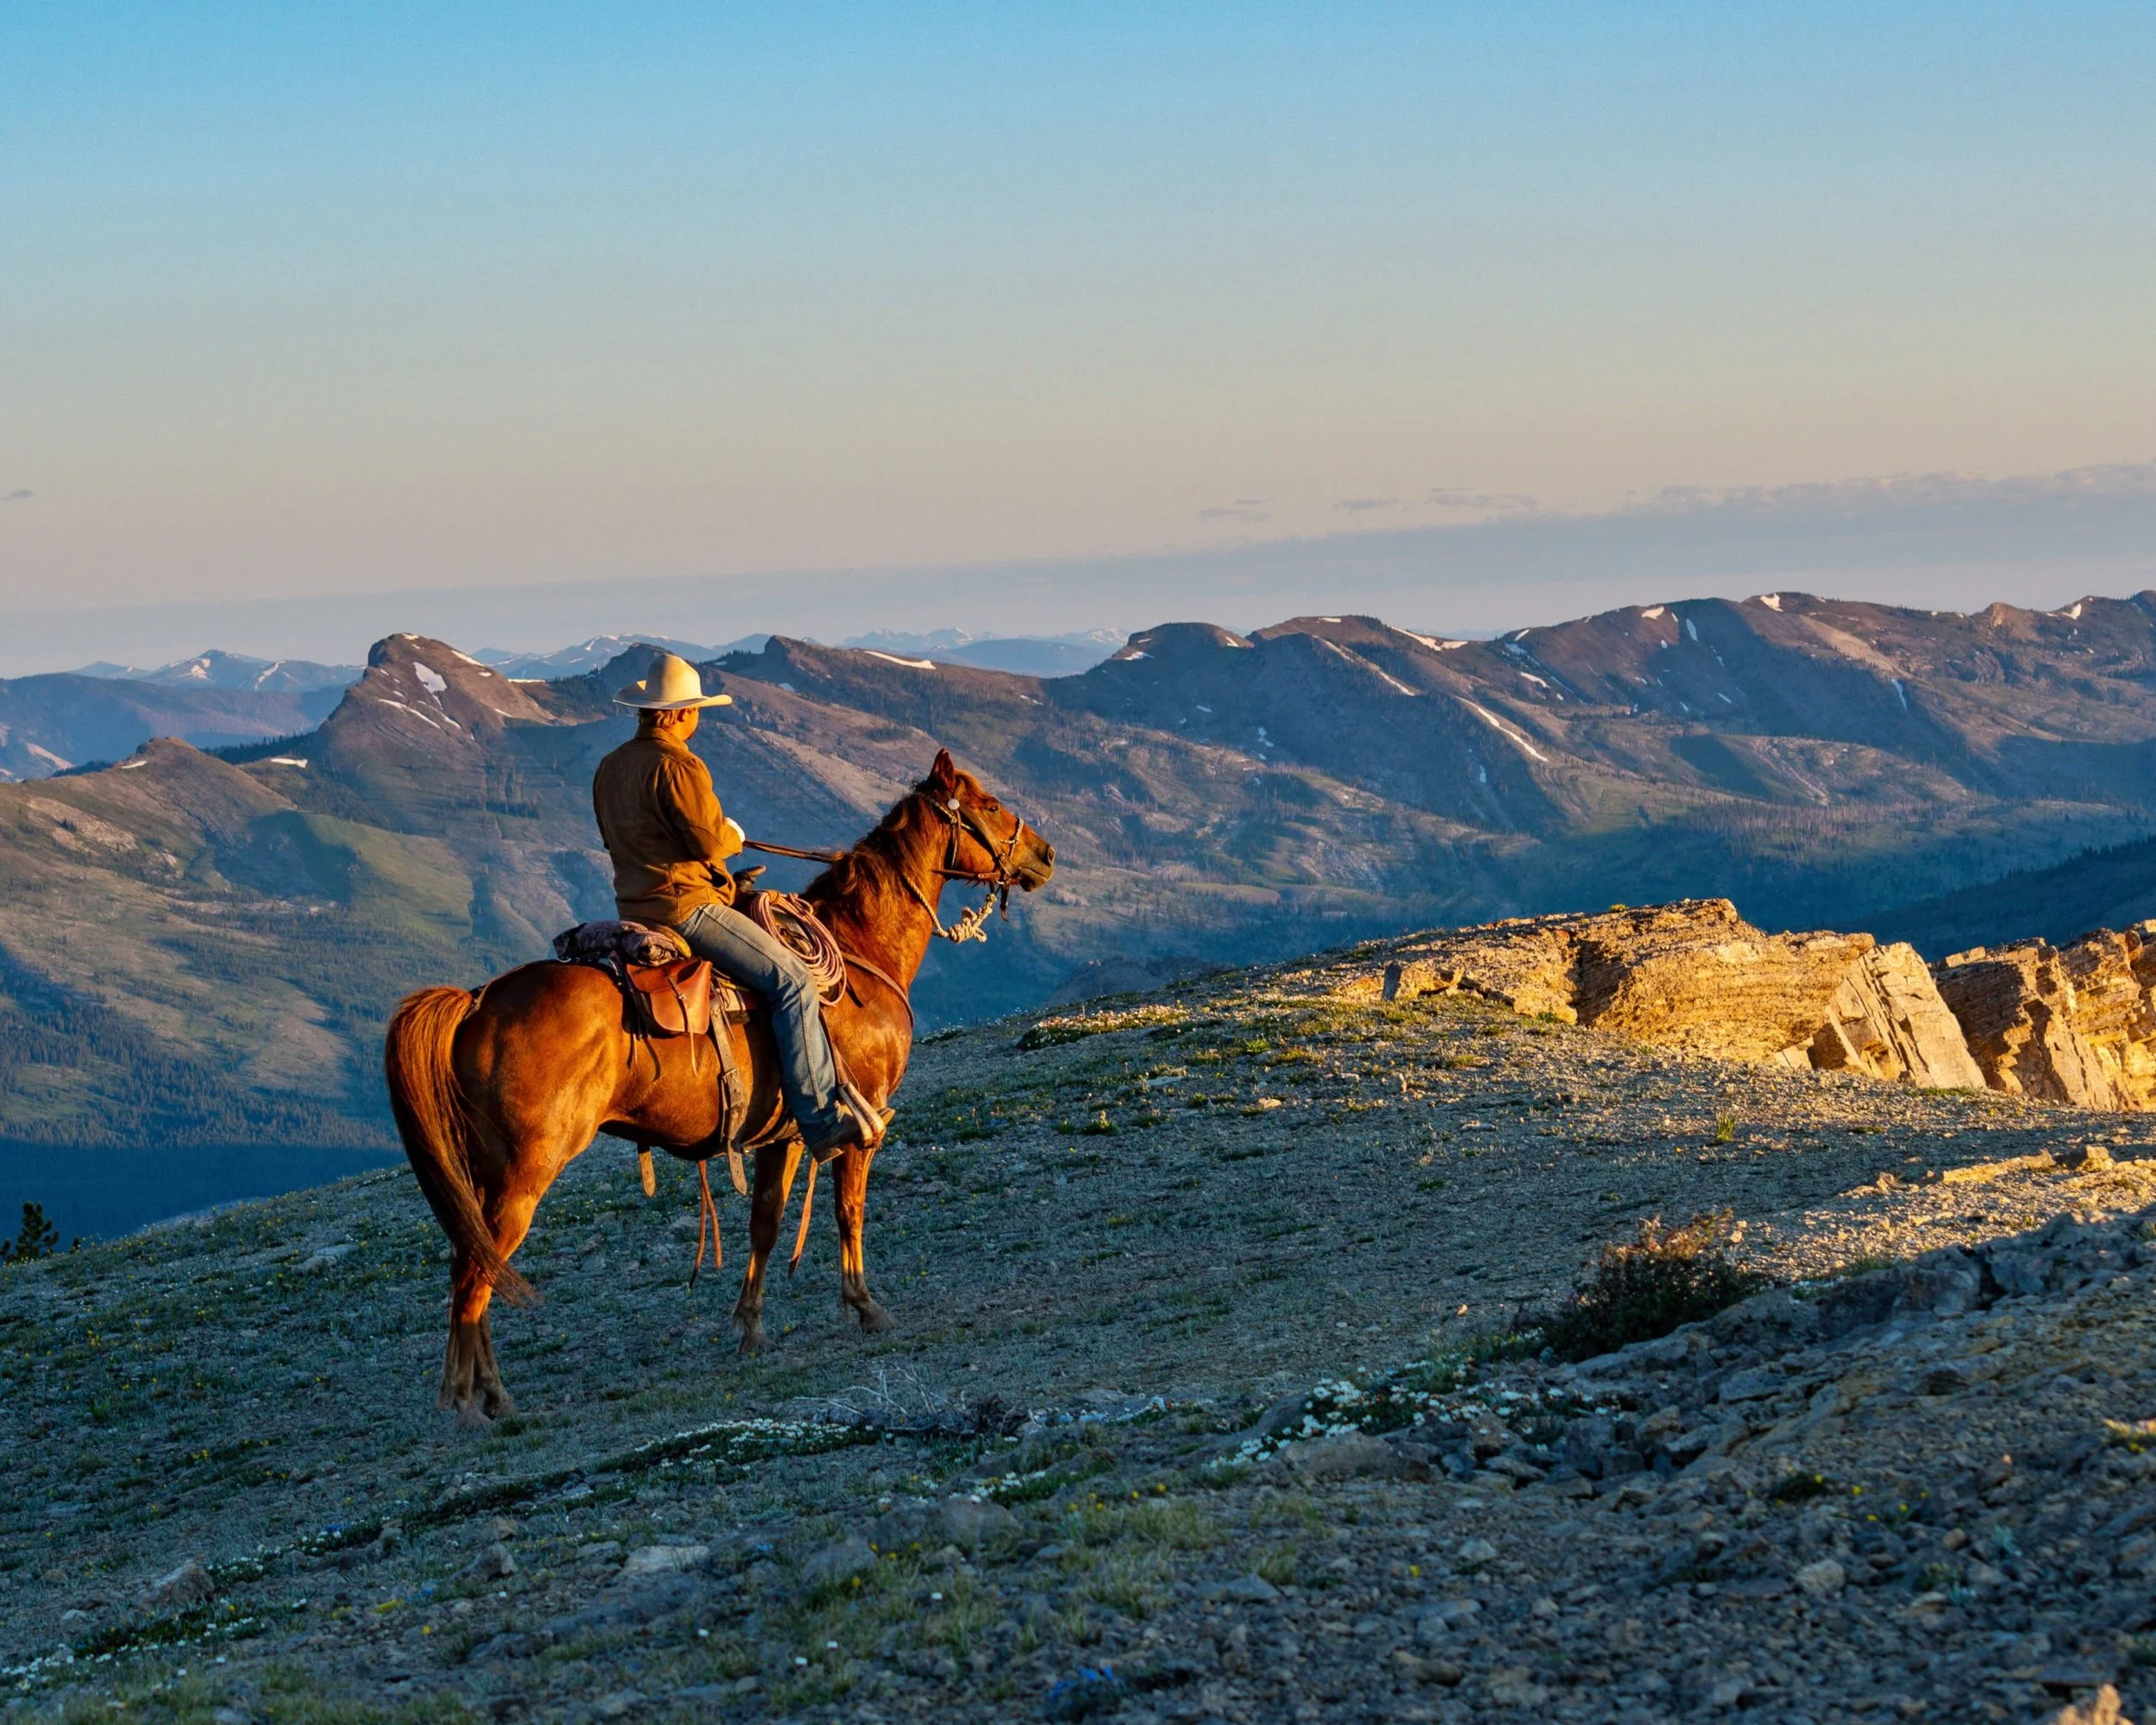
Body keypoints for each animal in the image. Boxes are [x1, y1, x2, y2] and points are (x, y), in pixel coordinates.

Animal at [382, 749, 1054, 1427]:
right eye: (989, 804)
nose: (1046, 855)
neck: (862, 950)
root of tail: (478, 1001)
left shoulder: (783, 1136)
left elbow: (767, 1221)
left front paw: (751, 1328)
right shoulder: (862, 1123)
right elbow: (848, 1211)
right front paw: (865, 1307)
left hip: (489, 1175)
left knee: (475, 1262)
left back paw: (495, 1396)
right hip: (525, 1172)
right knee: (476, 1272)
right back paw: (466, 1404)